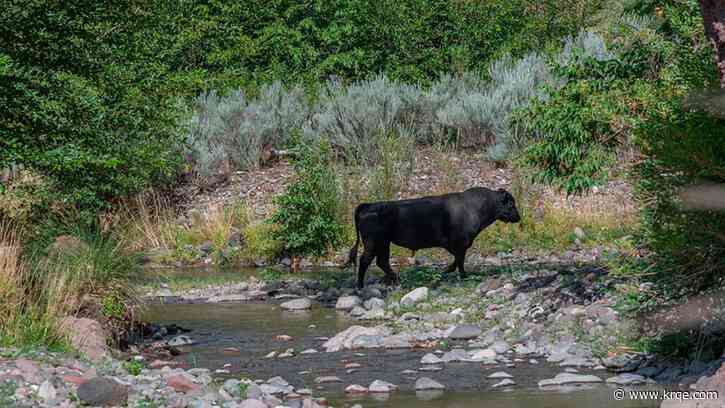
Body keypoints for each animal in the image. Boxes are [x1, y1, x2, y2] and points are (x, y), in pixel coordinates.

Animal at [346, 187, 521, 288]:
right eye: (511, 204)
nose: (518, 217)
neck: (476, 206)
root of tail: (368, 205)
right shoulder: (460, 243)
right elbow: (460, 260)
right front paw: (461, 275)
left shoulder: (457, 245)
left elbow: (458, 259)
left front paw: (449, 271)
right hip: (374, 243)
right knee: (366, 260)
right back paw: (361, 286)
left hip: (384, 243)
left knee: (382, 262)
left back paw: (396, 279)